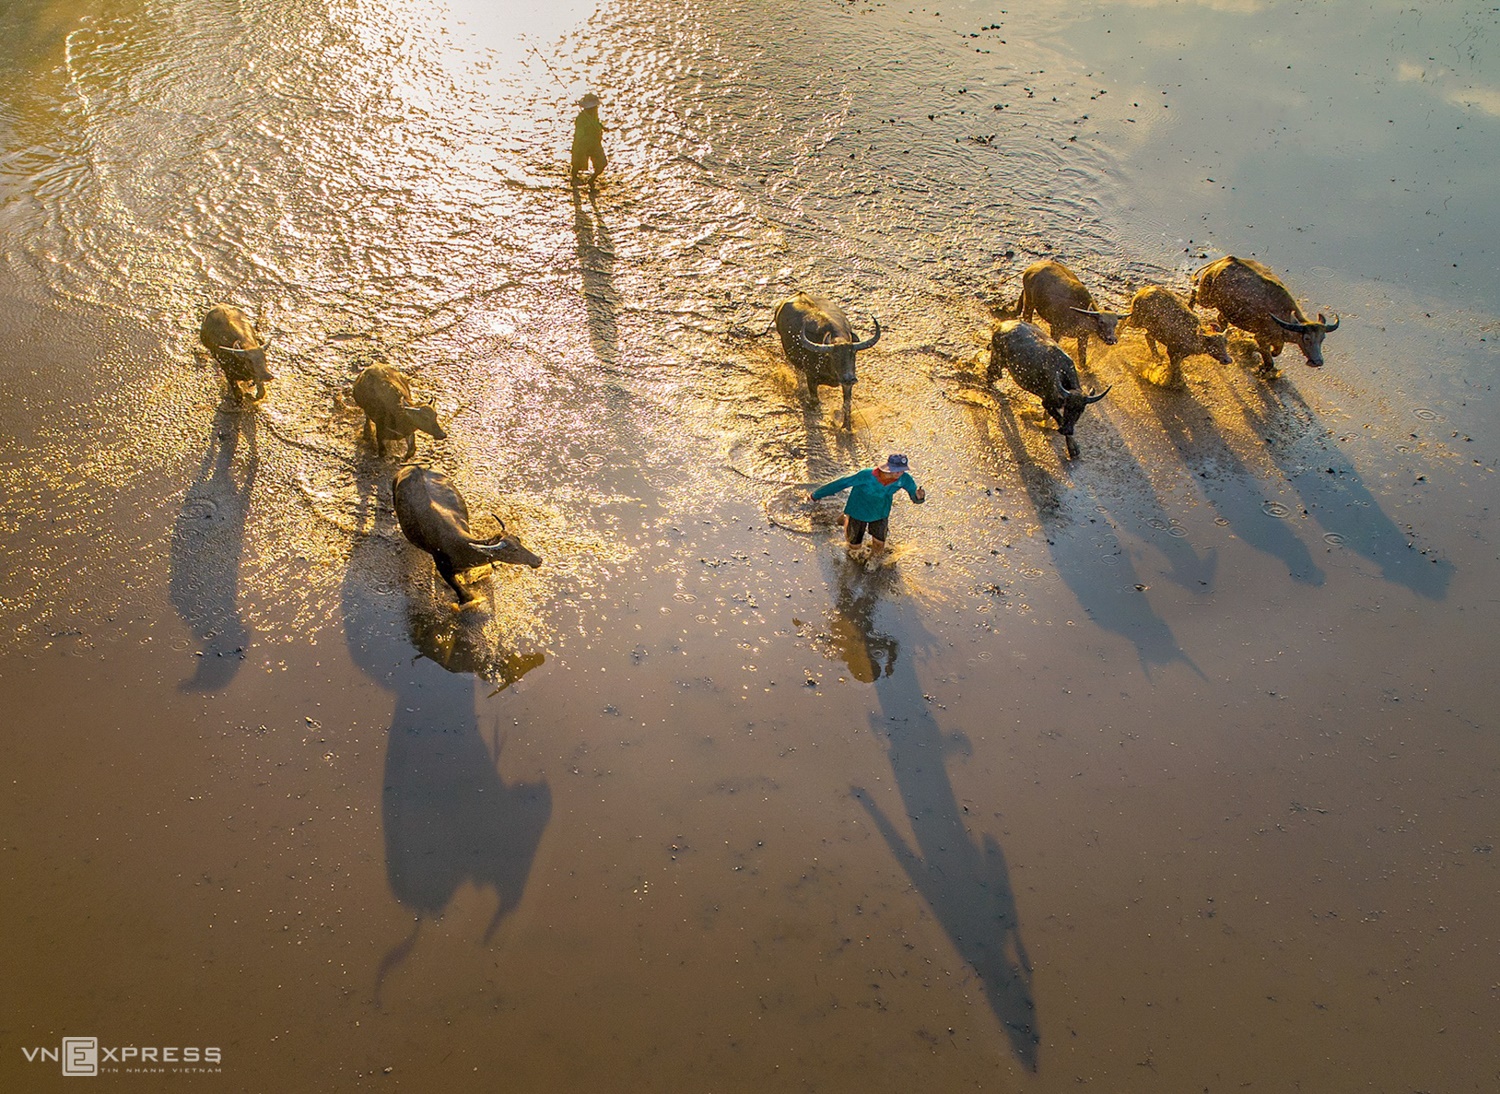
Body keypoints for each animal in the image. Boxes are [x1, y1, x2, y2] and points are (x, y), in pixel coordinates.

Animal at [393, 465, 546, 606]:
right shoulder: (443, 569)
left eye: (518, 540)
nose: (538, 560)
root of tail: (414, 466)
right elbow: (464, 595)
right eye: (513, 550)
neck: (458, 546)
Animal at [774, 289, 876, 432]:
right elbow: (815, 400)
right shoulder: (811, 377)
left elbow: (847, 404)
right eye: (834, 356)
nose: (849, 378)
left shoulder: (847, 384)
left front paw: (846, 426)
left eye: (852, 354)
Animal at [990, 318, 1110, 459]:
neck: (1061, 372)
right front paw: (1071, 447)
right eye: (1067, 407)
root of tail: (1001, 325)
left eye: (1080, 411)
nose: (1068, 429)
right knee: (991, 374)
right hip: (996, 361)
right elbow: (1060, 419)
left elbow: (1050, 417)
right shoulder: (1047, 402)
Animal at [1188, 255, 1344, 370]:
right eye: (1306, 338)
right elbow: (1269, 361)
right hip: (1207, 299)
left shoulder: (1278, 341)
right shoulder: (1262, 337)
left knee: (1221, 318)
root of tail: (1221, 262)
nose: (1318, 362)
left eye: (1322, 338)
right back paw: (1190, 307)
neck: (1283, 316)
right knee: (1194, 293)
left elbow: (1276, 352)